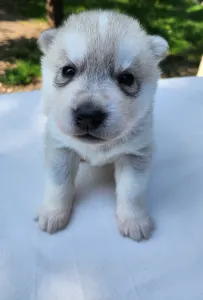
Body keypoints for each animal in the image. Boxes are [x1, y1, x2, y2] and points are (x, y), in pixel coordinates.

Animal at [36, 8, 168, 241]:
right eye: (68, 71)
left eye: (127, 78)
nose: (88, 115)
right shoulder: (60, 148)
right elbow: (58, 184)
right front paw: (53, 213)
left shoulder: (136, 153)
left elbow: (132, 191)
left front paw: (134, 220)